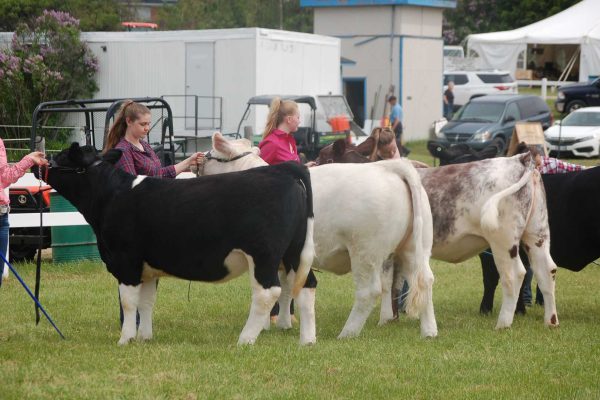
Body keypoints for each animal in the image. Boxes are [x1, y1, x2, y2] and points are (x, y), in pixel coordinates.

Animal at [39, 145, 316, 346]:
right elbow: (146, 302)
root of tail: (283, 170)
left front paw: (125, 339)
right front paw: (145, 337)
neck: (111, 196)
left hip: (263, 254)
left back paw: (245, 339)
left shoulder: (126, 260)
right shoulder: (148, 266)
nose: (41, 162)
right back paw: (307, 340)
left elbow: (129, 302)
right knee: (307, 285)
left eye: (62, 156)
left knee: (267, 292)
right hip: (295, 251)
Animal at [193, 133, 440, 340]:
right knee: (426, 280)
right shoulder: (286, 258)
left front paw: (264, 326)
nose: (197, 162)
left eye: (210, 154)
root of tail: (390, 168)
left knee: (369, 291)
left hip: (365, 251)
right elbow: (286, 288)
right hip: (415, 248)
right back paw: (429, 331)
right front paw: (282, 324)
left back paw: (347, 333)